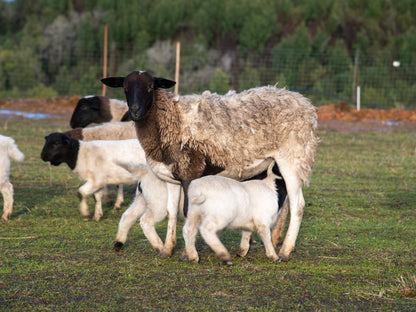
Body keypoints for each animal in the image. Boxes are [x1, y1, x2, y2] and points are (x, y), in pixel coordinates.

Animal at [102, 70, 320, 260]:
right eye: (125, 87)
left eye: (150, 87)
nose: (135, 111)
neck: (171, 120)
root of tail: (305, 104)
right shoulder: (173, 177)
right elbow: (172, 213)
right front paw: (167, 249)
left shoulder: (190, 172)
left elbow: (188, 213)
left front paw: (188, 253)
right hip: (277, 162)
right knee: (284, 200)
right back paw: (274, 239)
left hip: (293, 157)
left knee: (298, 204)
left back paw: (285, 250)